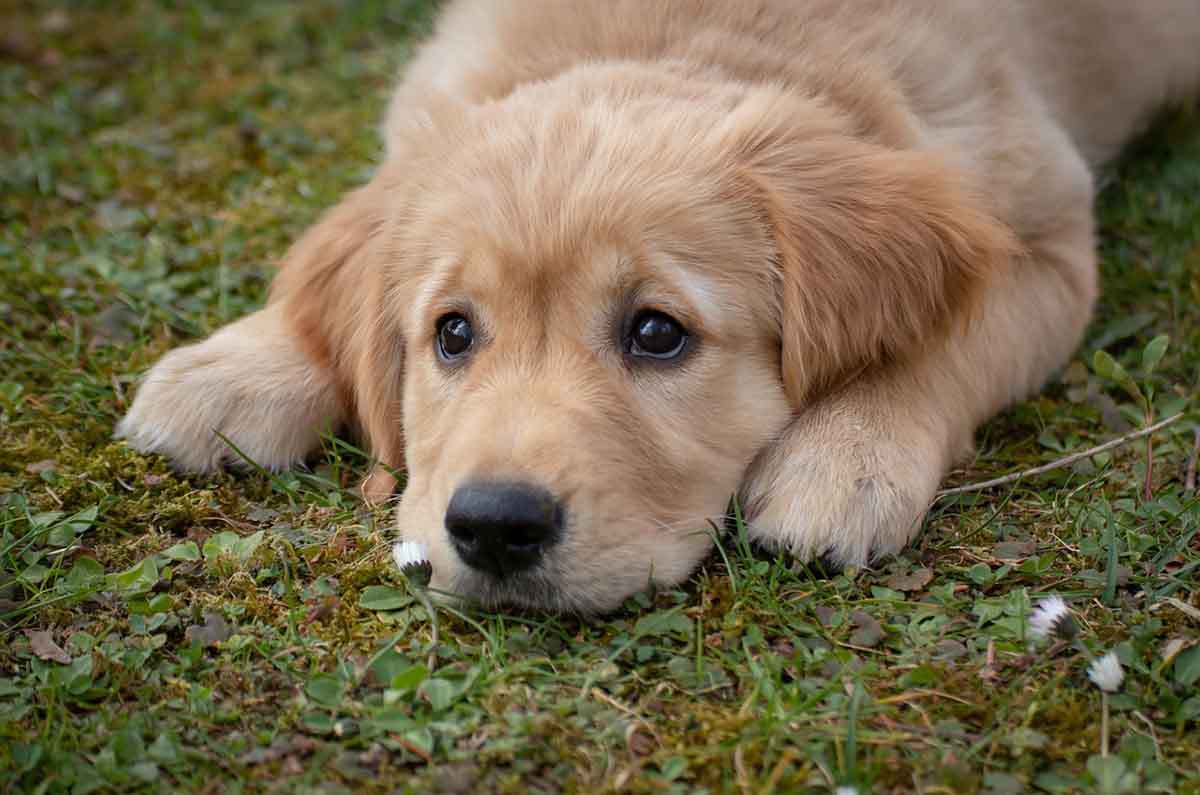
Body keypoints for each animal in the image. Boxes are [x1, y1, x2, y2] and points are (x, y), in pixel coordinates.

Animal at [119, 0, 1200, 612]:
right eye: (451, 333)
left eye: (656, 333)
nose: (495, 528)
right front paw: (237, 367)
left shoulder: (1047, 237)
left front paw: (846, 454)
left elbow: (943, 342)